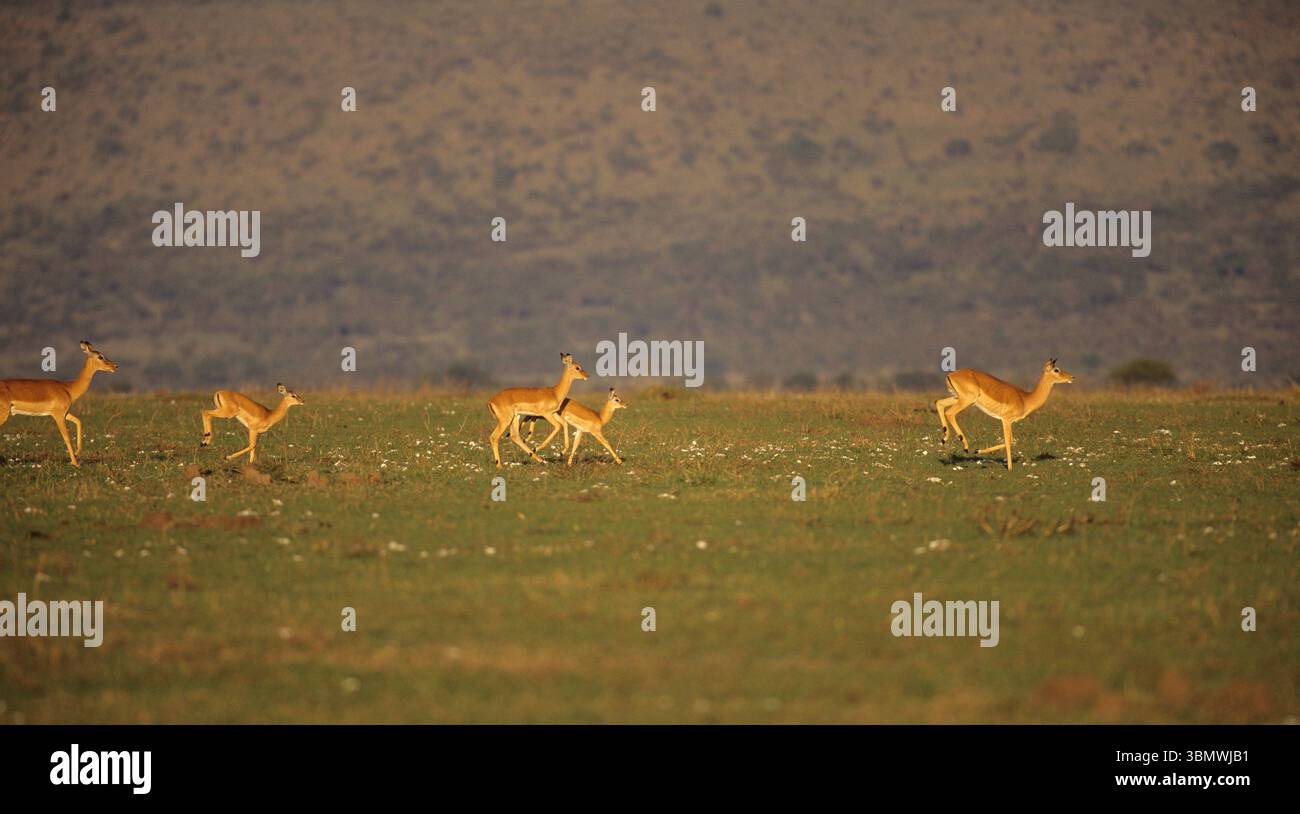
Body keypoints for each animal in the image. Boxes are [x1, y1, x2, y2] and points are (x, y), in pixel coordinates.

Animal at [935, 358, 1074, 470]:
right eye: (1056, 369)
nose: (1072, 377)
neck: (1025, 399)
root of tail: (951, 374)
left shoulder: (1010, 422)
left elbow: (1009, 441)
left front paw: (978, 450)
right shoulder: (1006, 420)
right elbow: (1009, 441)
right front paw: (1010, 468)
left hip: (958, 398)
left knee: (939, 403)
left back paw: (944, 438)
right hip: (966, 401)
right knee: (950, 412)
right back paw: (965, 446)